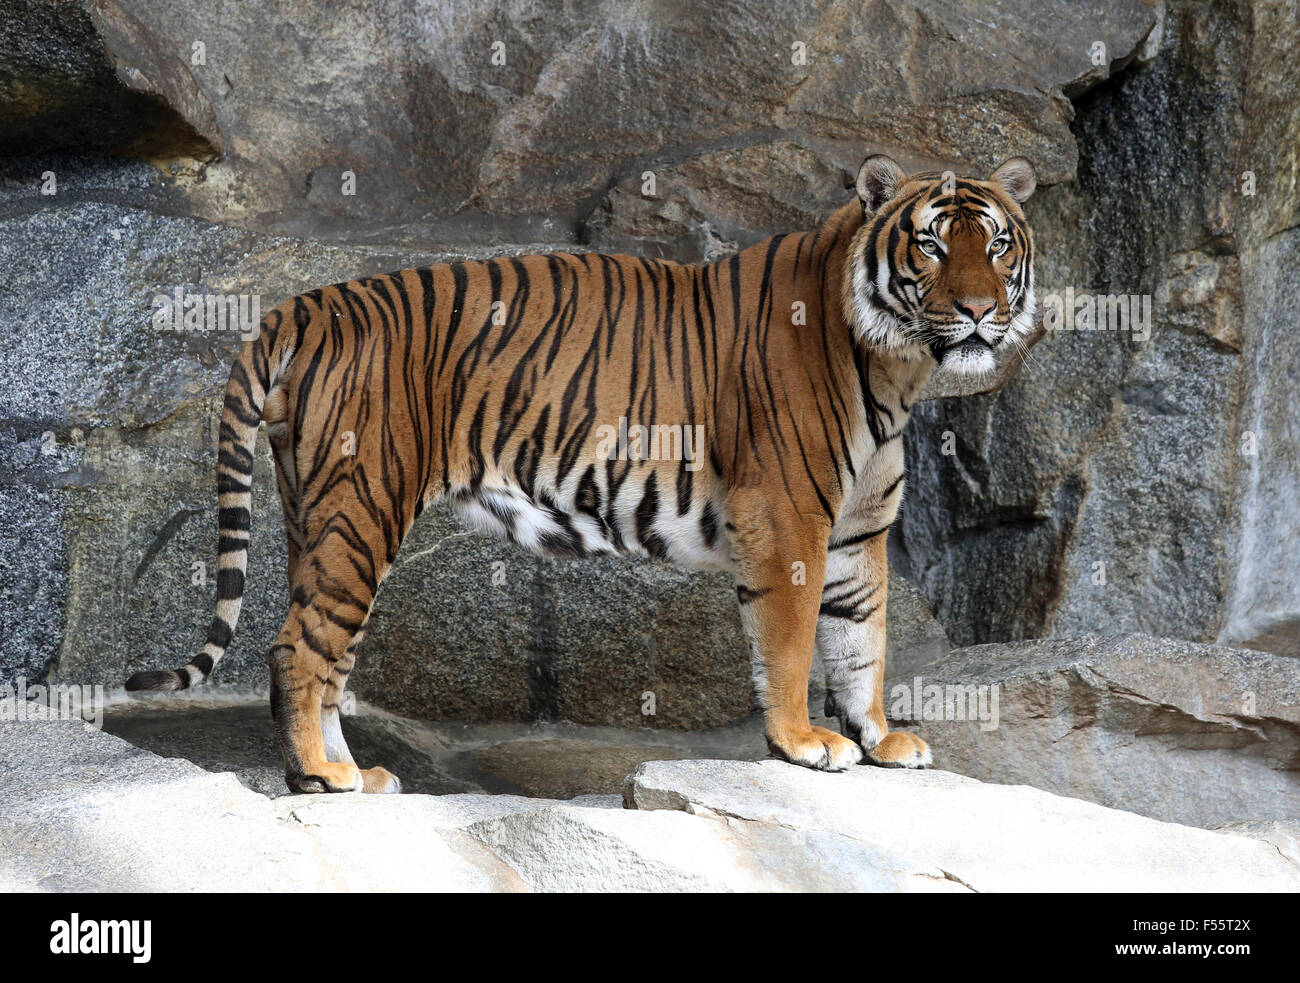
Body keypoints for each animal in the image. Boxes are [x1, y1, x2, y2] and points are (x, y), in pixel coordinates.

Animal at [122, 155, 1034, 800]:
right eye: (930, 243)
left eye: (995, 243)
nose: (980, 310)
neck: (897, 368)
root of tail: (299, 305)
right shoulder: (788, 522)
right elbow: (793, 642)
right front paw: (806, 743)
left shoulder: (857, 530)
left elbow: (861, 641)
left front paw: (880, 738)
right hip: (363, 507)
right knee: (297, 648)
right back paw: (320, 776)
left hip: (318, 512)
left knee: (328, 651)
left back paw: (356, 775)